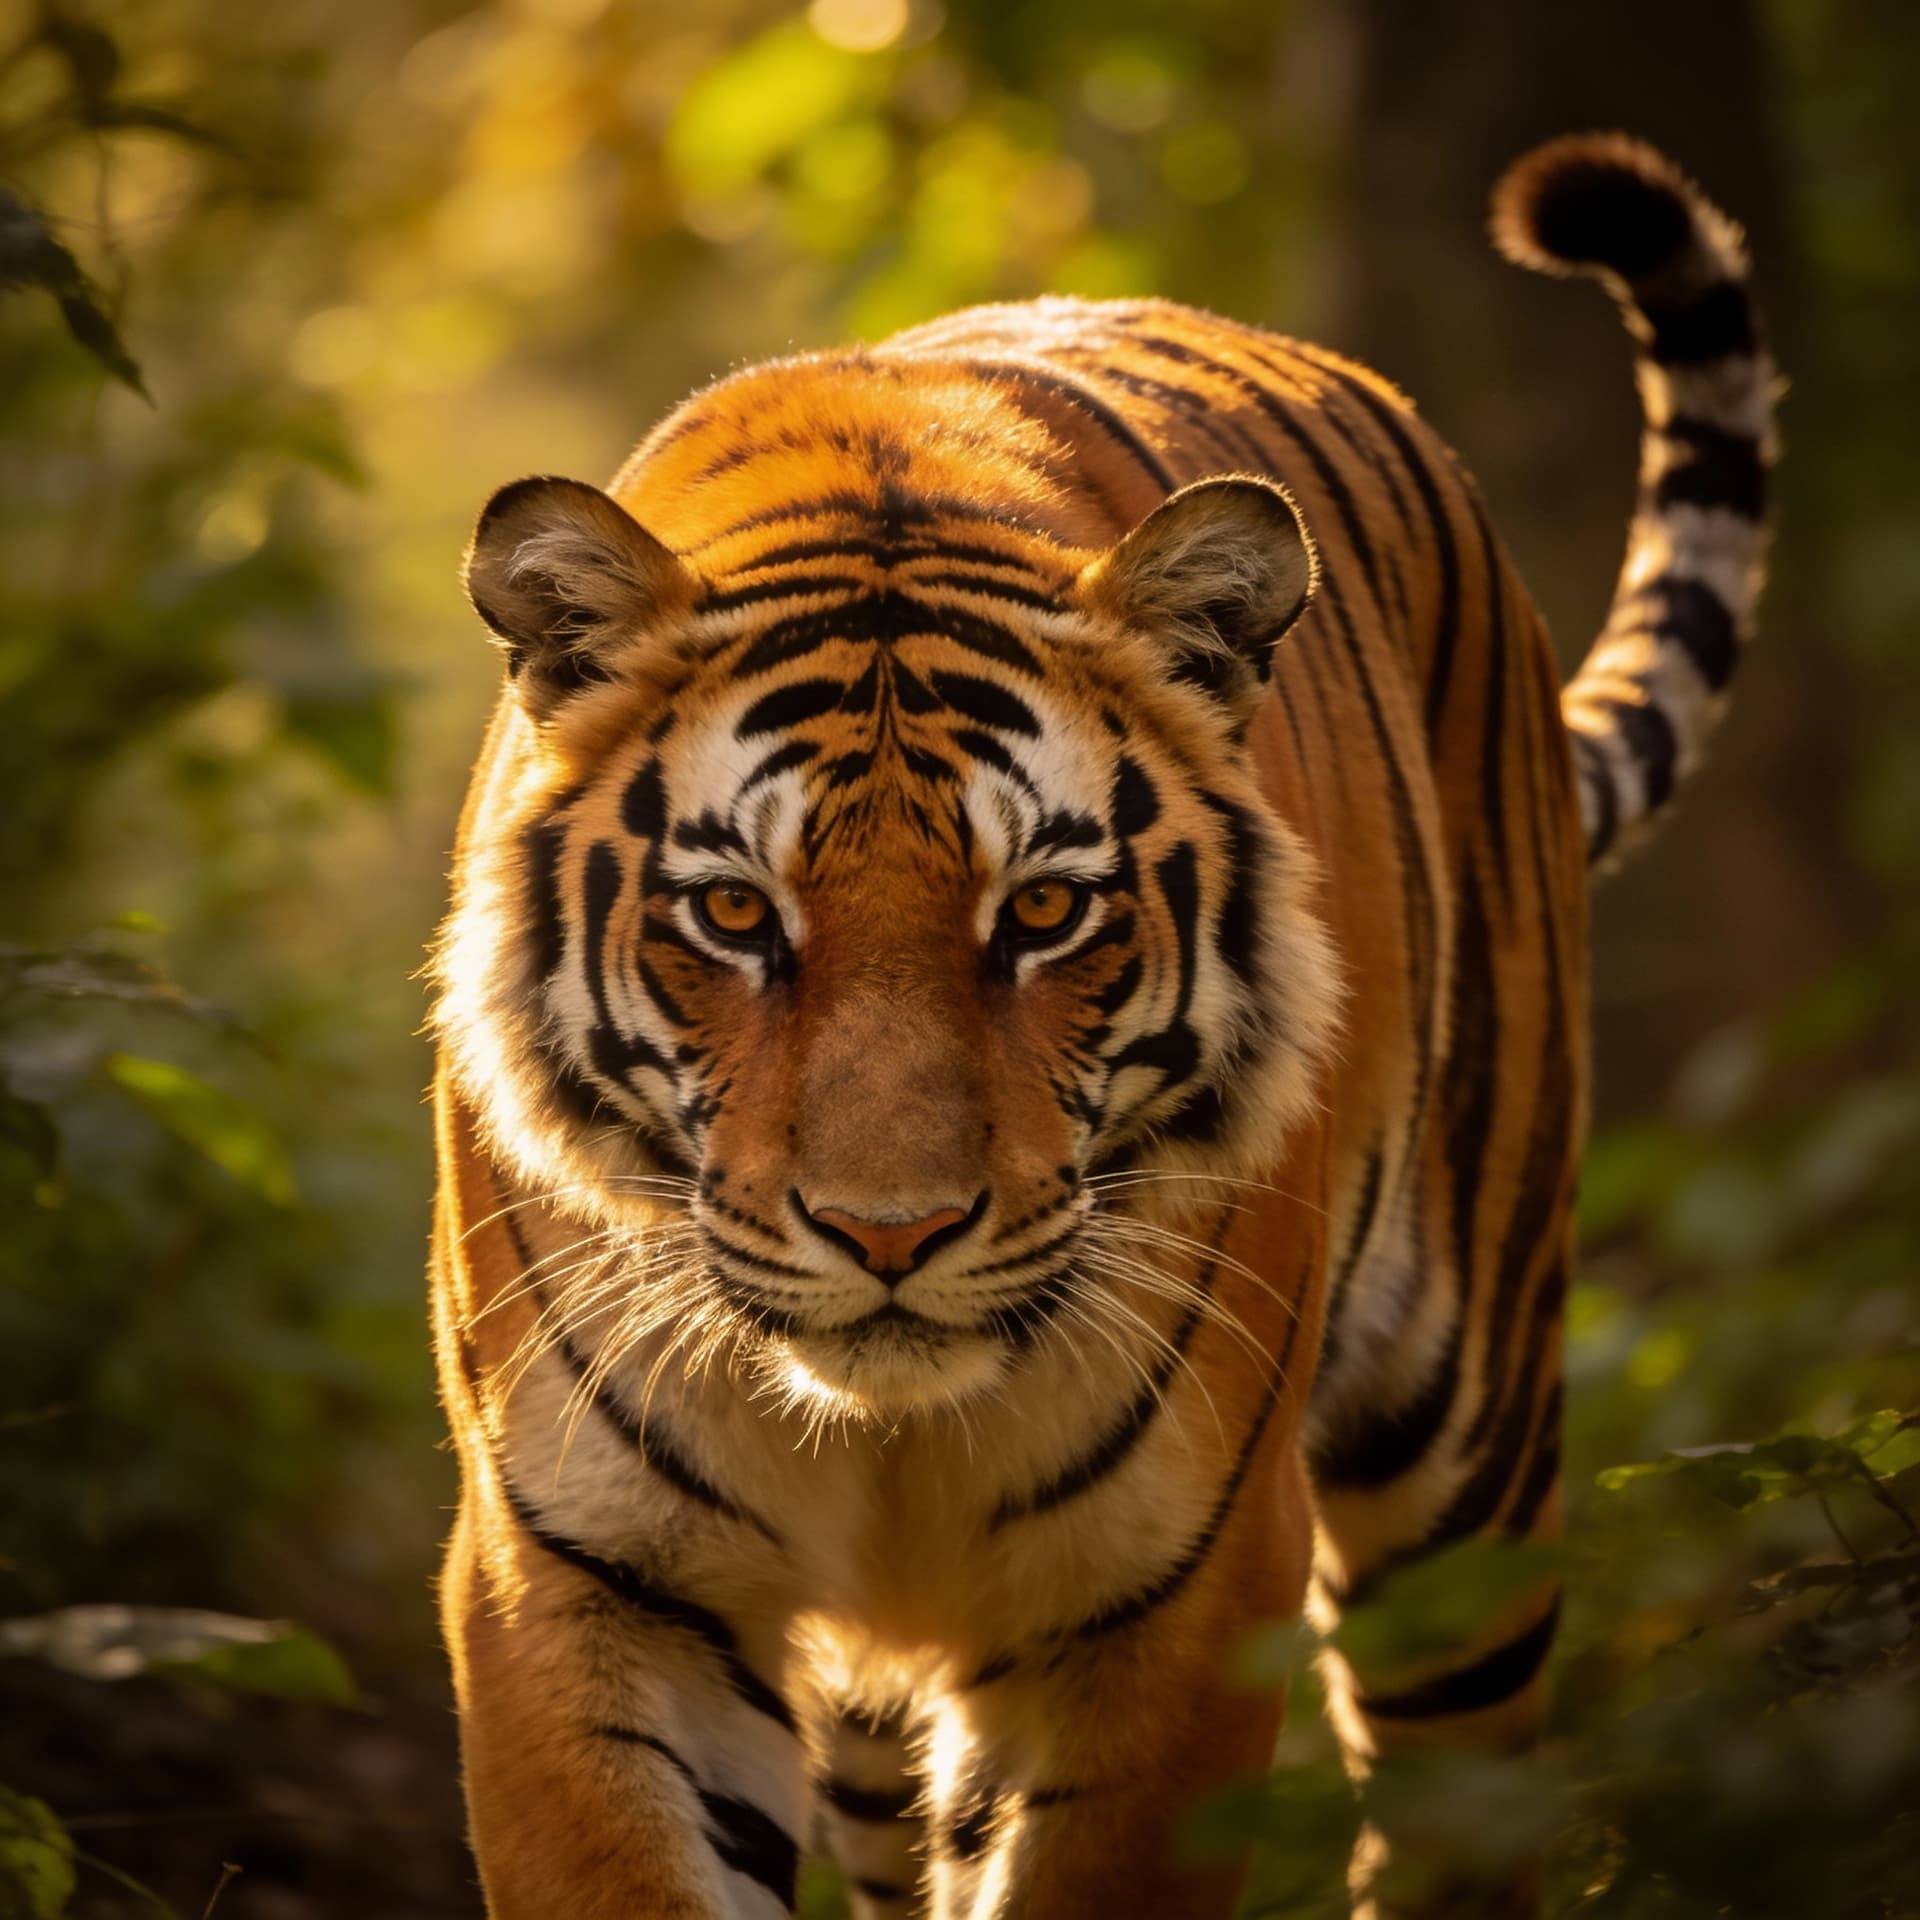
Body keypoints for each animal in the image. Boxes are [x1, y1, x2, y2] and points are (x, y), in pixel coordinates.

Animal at [428, 132, 1773, 1919]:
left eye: (1045, 914)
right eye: (736, 918)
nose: (891, 1234)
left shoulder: (1174, 1592)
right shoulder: (577, 1571)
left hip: (1467, 1459)